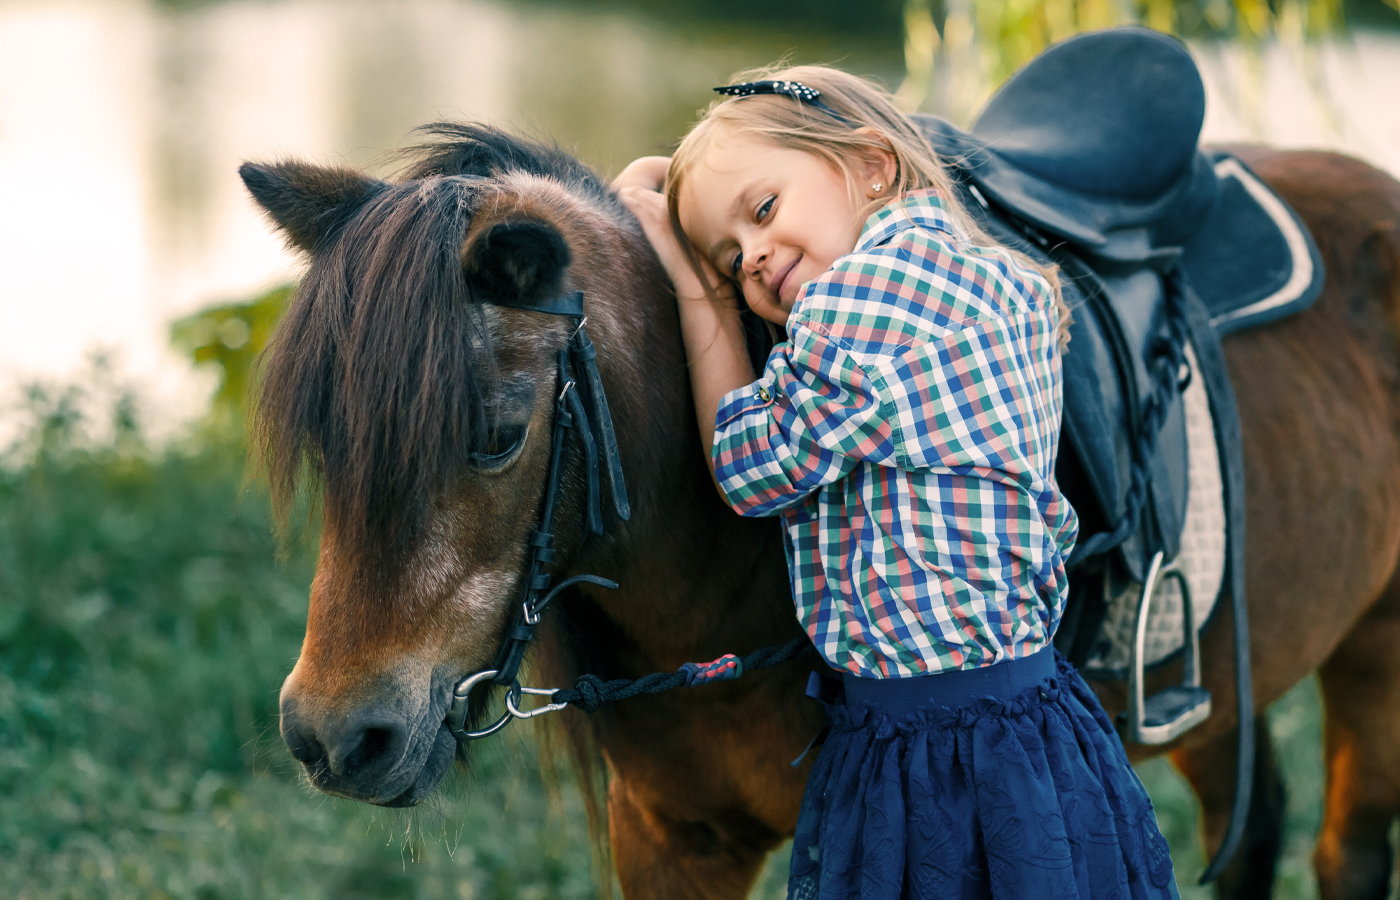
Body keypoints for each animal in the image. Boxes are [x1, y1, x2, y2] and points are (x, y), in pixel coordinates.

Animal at [246, 128, 1400, 900]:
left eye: (495, 434)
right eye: (329, 443)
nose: (332, 738)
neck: (711, 589)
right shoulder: (670, 841)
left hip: (1369, 655)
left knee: (1344, 851)